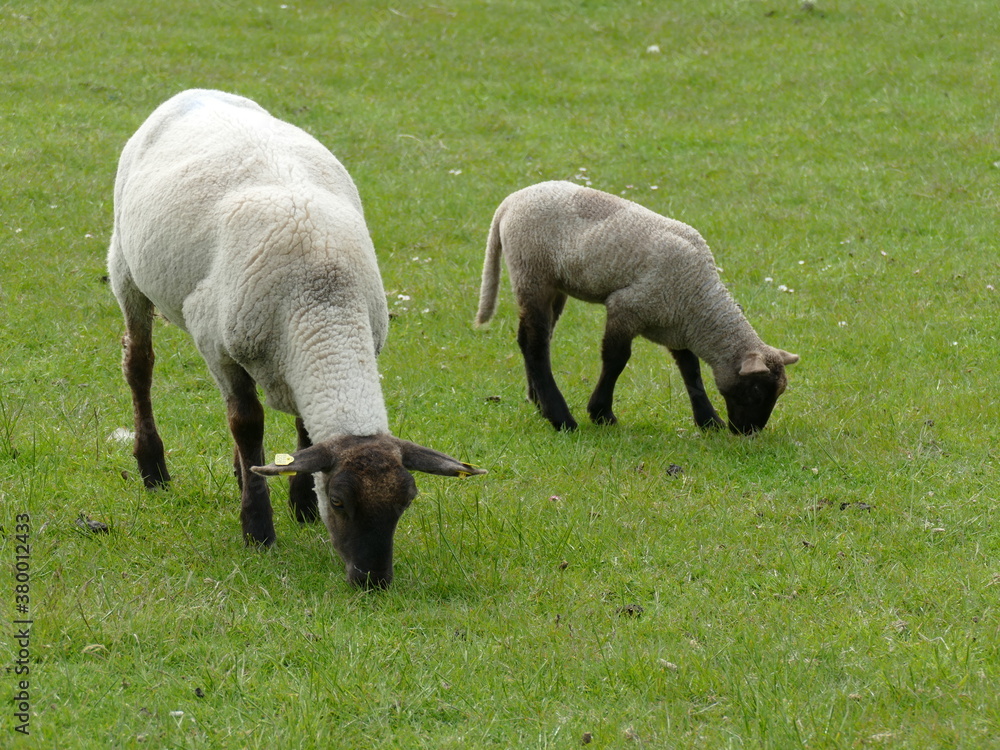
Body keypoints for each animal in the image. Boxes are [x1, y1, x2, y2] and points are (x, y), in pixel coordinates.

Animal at [108, 89, 485, 588]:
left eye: (407, 502)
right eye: (340, 502)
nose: (373, 579)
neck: (323, 301)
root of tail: (196, 93)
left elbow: (304, 431)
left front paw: (300, 503)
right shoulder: (218, 347)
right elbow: (246, 423)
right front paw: (258, 530)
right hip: (125, 269)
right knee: (140, 365)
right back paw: (153, 469)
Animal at [475, 180, 799, 434]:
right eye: (756, 391)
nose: (749, 432)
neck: (697, 299)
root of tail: (510, 202)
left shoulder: (675, 324)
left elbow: (690, 370)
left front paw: (709, 420)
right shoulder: (627, 308)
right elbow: (616, 359)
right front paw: (601, 413)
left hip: (552, 284)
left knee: (529, 338)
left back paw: (539, 402)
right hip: (532, 273)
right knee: (535, 345)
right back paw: (561, 418)